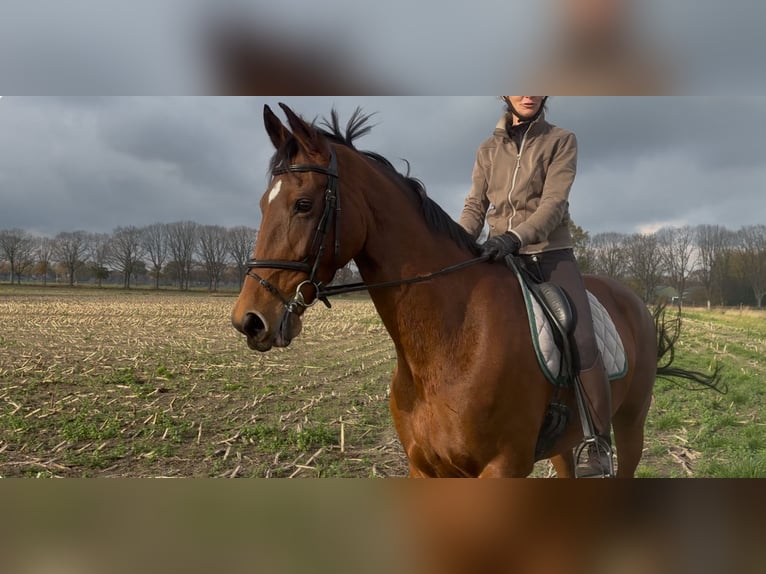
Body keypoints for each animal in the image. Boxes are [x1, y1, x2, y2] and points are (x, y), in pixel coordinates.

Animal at [231, 103, 720, 478]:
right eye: (262, 204)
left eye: (303, 204)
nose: (249, 320)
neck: (448, 341)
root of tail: (632, 299)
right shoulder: (426, 468)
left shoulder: (502, 467)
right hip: (566, 446)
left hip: (631, 424)